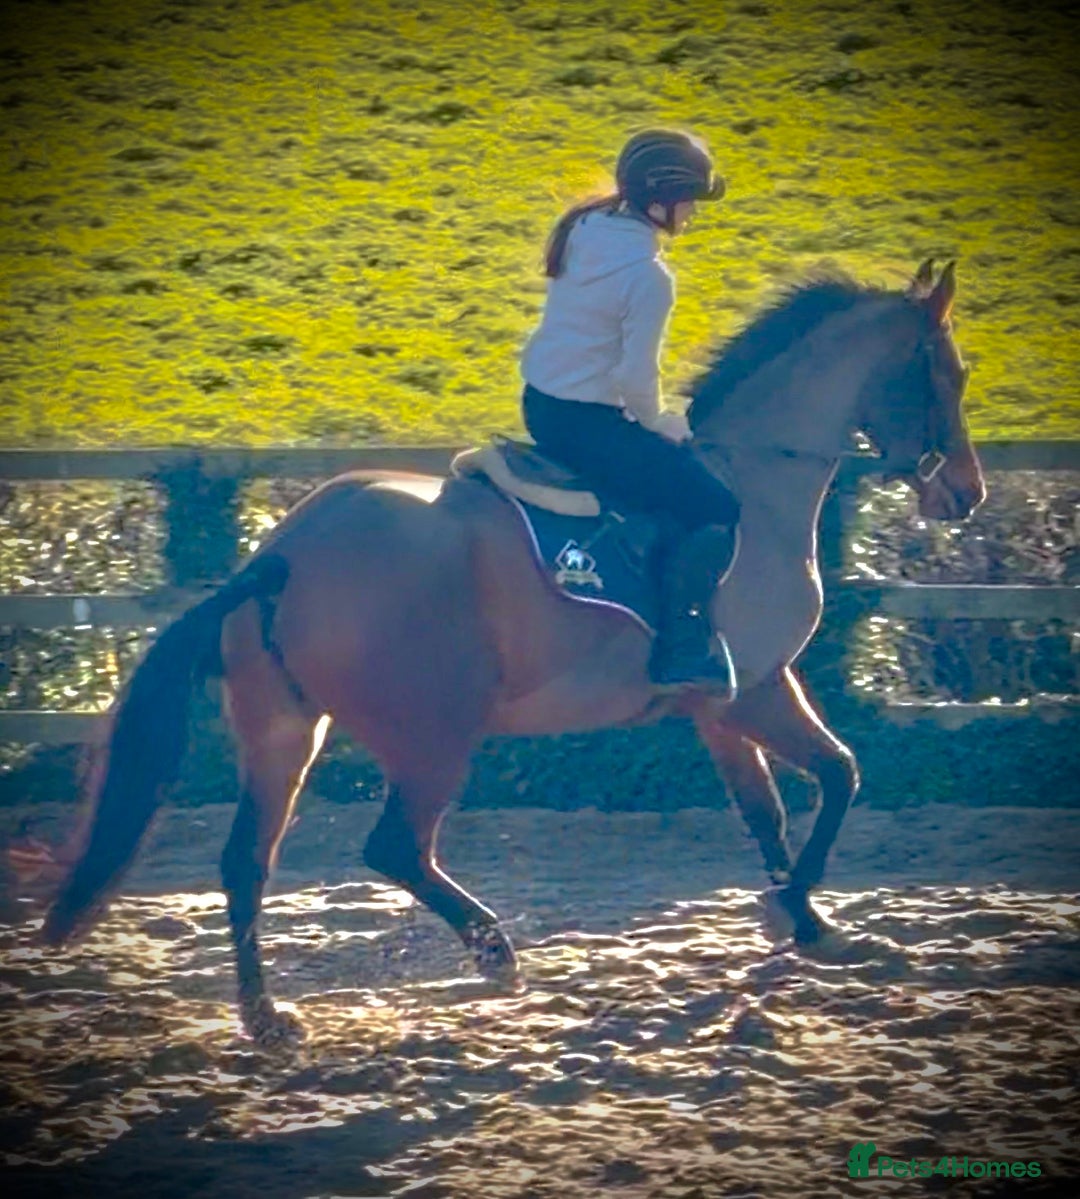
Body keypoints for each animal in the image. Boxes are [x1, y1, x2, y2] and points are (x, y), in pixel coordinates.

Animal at [33, 259, 984, 1045]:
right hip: (434, 734)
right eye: (950, 373)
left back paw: (267, 1018)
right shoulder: (754, 688)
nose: (966, 494)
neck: (754, 482)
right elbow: (840, 775)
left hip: (285, 734)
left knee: (247, 860)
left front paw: (800, 918)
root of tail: (284, 550)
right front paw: (798, 908)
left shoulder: (719, 702)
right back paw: (492, 951)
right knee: (395, 847)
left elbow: (770, 809)